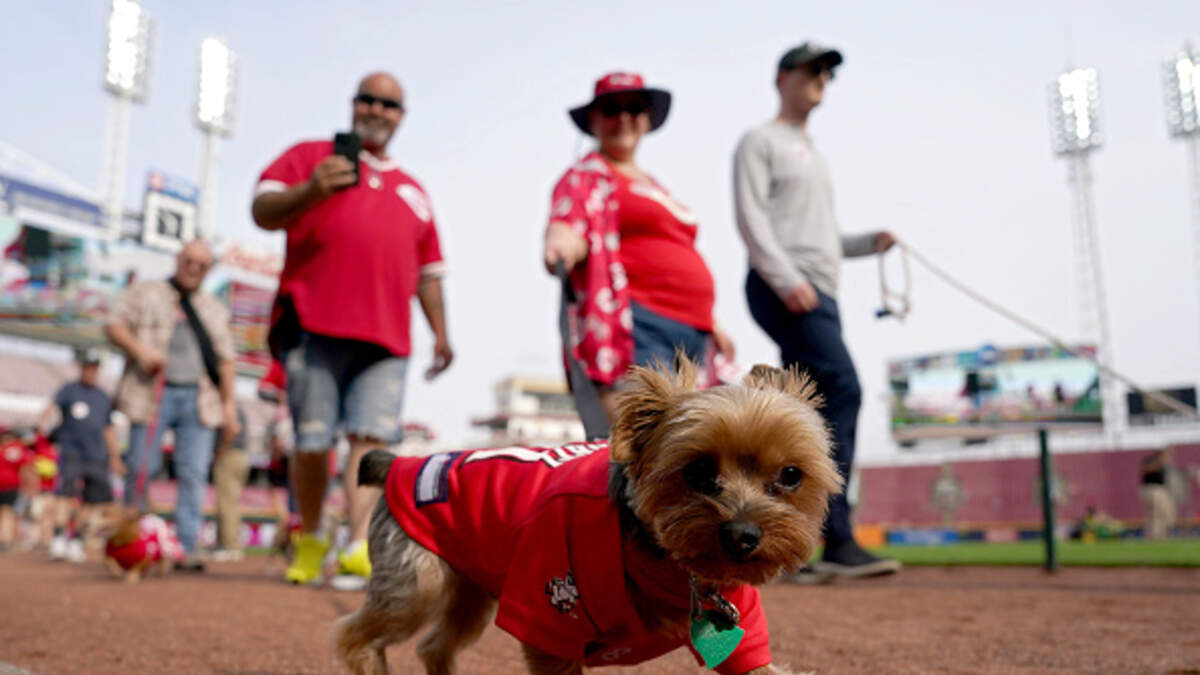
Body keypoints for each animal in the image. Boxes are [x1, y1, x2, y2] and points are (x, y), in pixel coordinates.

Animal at [335, 360, 842, 674]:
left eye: (791, 475)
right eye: (697, 471)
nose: (742, 535)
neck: (664, 564)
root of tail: (404, 462)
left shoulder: (741, 632)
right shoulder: (546, 616)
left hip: (470, 584)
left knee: (435, 643)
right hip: (418, 577)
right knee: (359, 636)